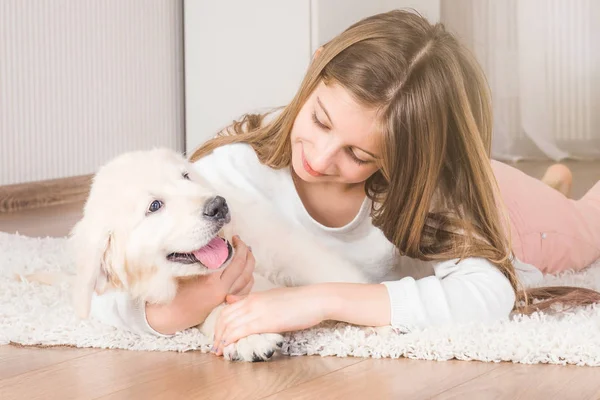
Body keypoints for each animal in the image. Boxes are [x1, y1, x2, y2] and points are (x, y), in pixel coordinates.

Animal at [68, 147, 368, 362]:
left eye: (185, 176)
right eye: (154, 206)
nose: (218, 205)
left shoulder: (285, 246)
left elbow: (333, 277)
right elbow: (217, 308)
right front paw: (249, 338)